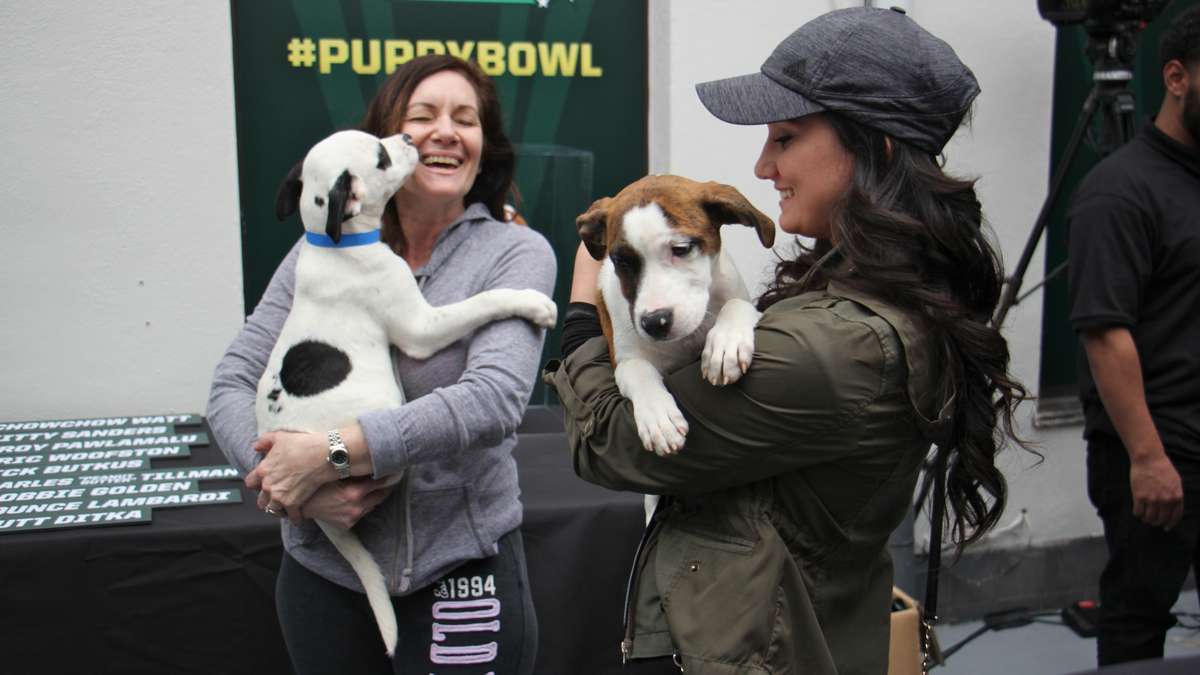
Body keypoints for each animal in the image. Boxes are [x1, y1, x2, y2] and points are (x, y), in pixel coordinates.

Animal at [260, 128, 554, 653]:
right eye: (381, 156)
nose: (409, 137)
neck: (335, 243)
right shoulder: (421, 326)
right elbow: (483, 300)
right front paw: (532, 303)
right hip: (381, 409)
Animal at [573, 172, 777, 456]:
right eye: (622, 262)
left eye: (681, 248)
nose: (654, 322)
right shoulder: (623, 358)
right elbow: (637, 368)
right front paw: (659, 417)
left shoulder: (737, 294)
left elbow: (736, 304)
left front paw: (726, 345)